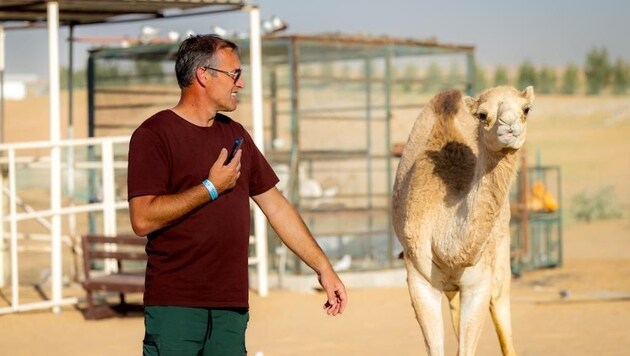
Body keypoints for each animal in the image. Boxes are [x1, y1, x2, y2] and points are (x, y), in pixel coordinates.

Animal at [392, 85, 536, 354]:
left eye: (526, 109)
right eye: (482, 114)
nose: (509, 126)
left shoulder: (478, 284)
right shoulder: (419, 280)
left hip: (501, 255)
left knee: (501, 312)